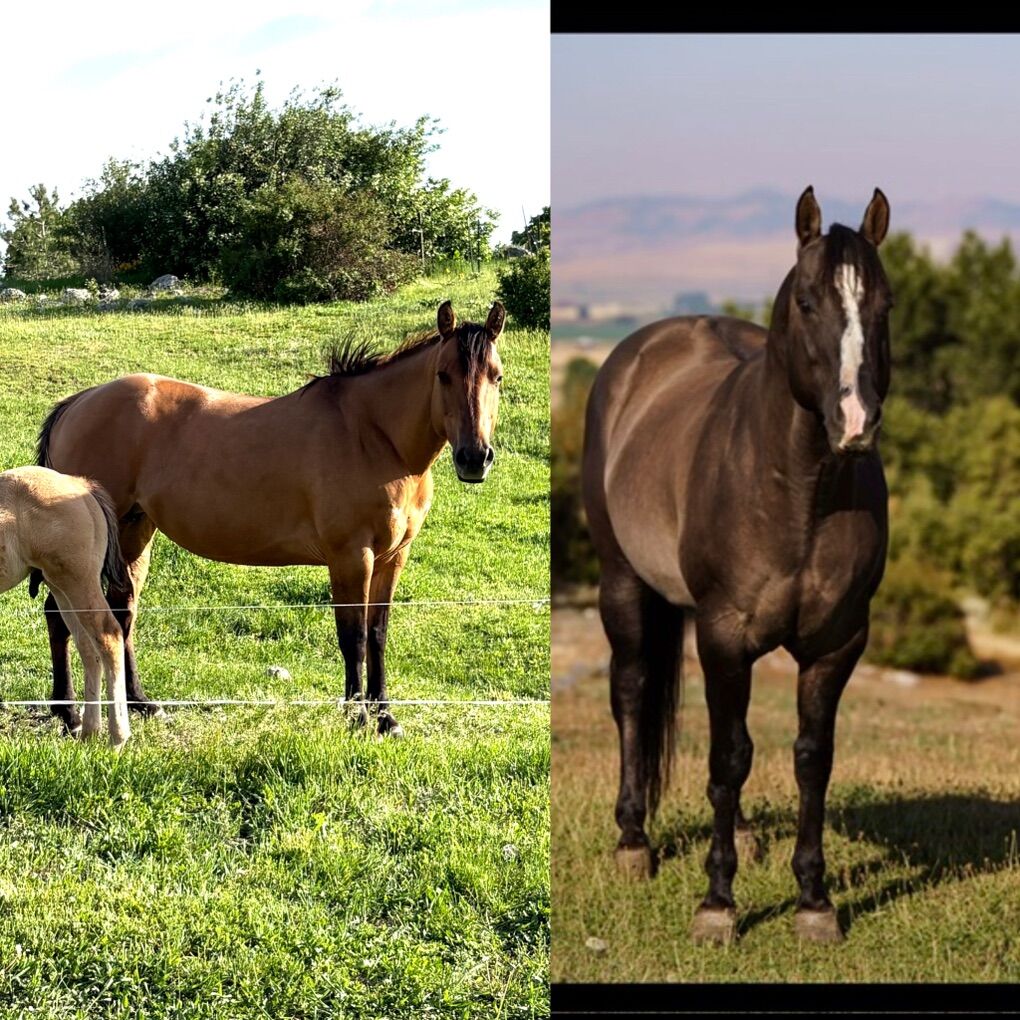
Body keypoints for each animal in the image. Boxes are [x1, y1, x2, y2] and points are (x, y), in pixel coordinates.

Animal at [0, 466, 130, 748]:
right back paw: (89, 732)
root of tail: (80, 485)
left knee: (109, 636)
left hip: (78, 582)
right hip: (61, 589)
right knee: (88, 648)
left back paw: (117, 737)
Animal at [36, 299, 506, 738]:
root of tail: (77, 403)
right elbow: (352, 637)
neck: (373, 436)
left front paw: (385, 716)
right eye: (443, 375)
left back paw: (140, 703)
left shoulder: (393, 558)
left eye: (496, 376)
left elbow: (377, 634)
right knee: (59, 614)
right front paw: (357, 715)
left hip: (135, 533)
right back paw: (69, 714)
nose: (474, 458)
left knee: (122, 612)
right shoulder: (351, 557)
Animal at [582, 188, 892, 944]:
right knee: (631, 693)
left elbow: (808, 758)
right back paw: (634, 841)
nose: (856, 422)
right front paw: (718, 903)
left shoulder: (837, 644)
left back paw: (747, 835)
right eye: (807, 300)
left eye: (885, 304)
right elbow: (727, 757)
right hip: (623, 584)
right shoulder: (725, 633)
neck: (800, 493)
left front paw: (813, 901)